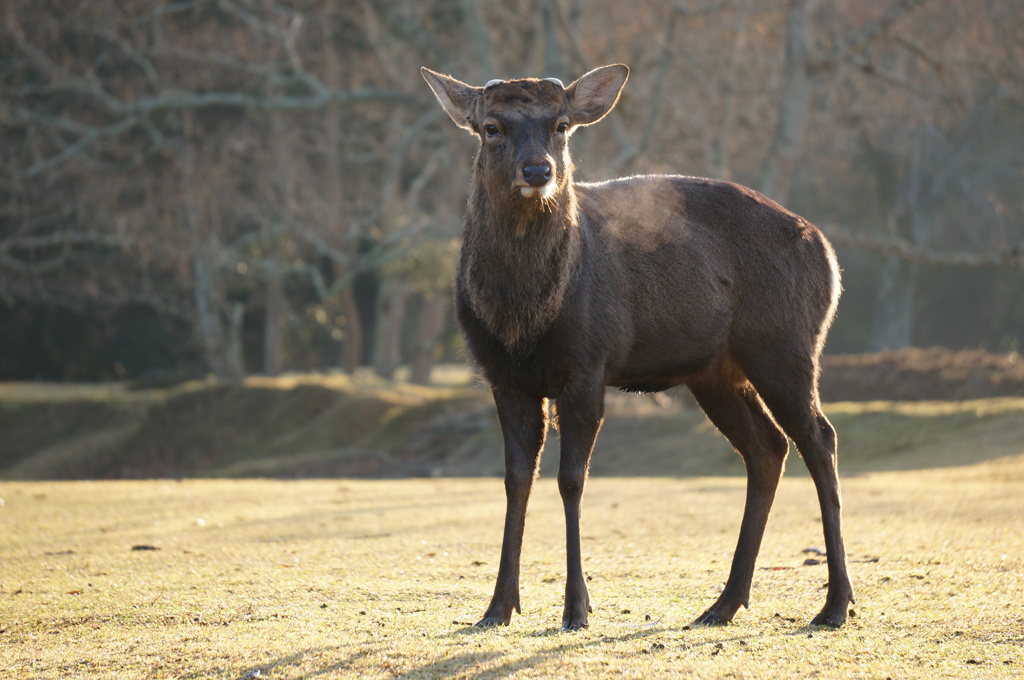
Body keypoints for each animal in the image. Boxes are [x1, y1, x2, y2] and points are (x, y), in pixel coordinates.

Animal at [419, 63, 851, 630]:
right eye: (491, 127)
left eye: (561, 125)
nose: (537, 171)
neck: (524, 321)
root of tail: (828, 253)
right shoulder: (502, 376)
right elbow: (516, 479)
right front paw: (497, 608)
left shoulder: (589, 364)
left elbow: (571, 480)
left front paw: (577, 608)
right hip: (716, 372)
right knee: (767, 447)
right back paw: (723, 604)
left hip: (786, 346)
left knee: (820, 439)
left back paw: (835, 605)